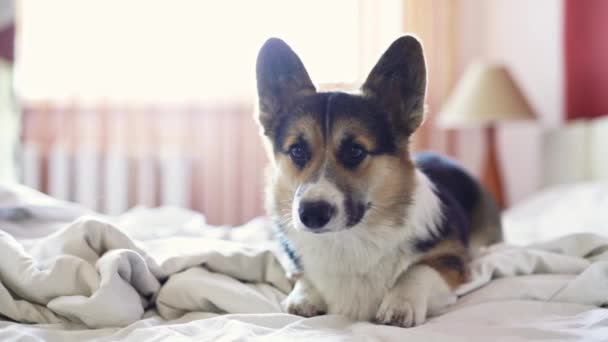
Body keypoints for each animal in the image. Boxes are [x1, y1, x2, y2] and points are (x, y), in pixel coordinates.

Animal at [254, 36, 502, 328]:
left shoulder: (452, 260)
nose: (311, 214)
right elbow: (302, 275)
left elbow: (418, 270)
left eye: (355, 151)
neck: (349, 240)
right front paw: (304, 298)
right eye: (297, 151)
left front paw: (400, 303)